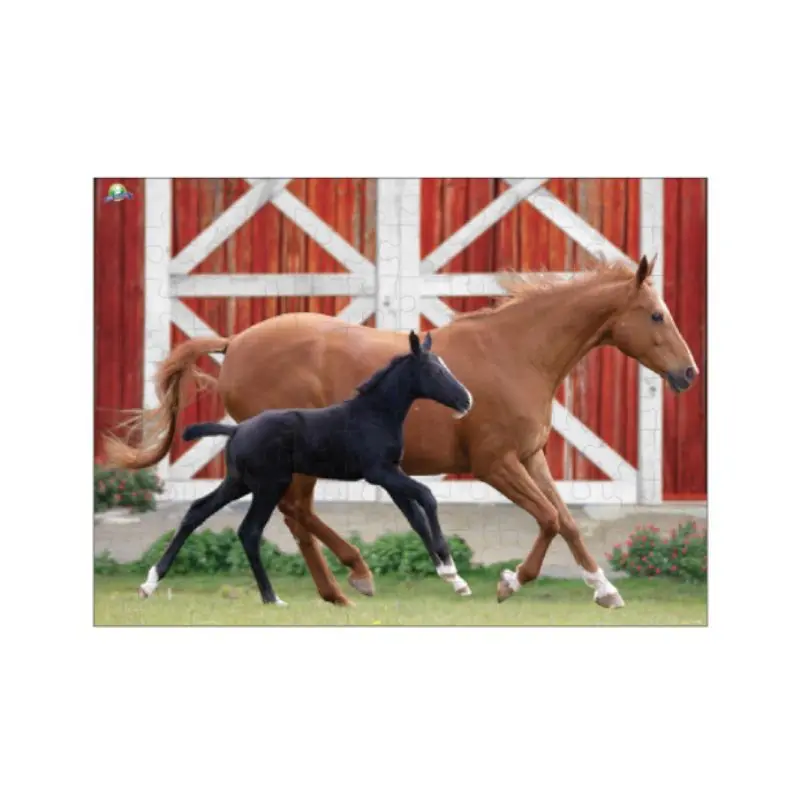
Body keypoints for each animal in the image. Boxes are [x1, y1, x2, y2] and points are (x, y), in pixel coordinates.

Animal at [136, 331, 474, 605]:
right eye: (434, 369)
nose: (466, 400)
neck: (374, 414)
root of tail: (237, 429)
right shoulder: (380, 472)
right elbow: (427, 496)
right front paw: (449, 566)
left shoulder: (390, 475)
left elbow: (416, 519)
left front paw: (455, 580)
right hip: (270, 485)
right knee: (249, 530)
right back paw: (272, 598)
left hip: (238, 482)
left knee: (197, 511)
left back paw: (150, 582)